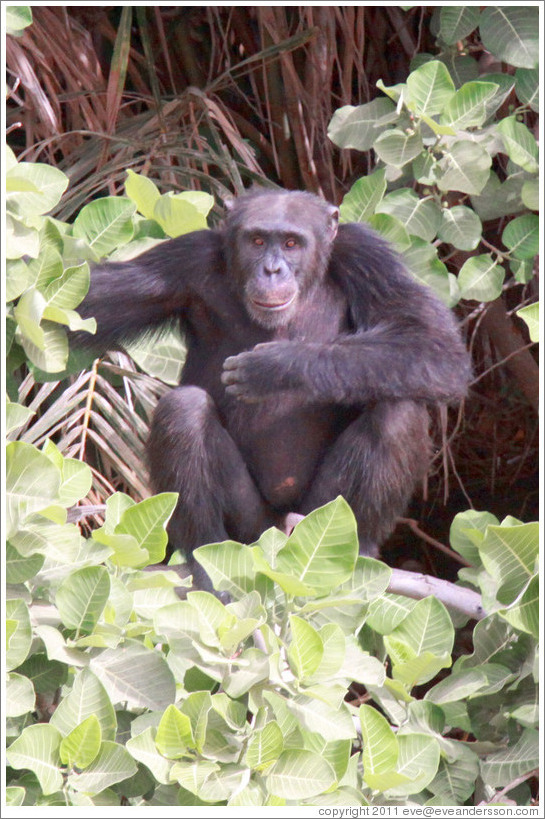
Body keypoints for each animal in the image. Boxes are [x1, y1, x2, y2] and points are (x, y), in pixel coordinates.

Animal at [75, 187, 468, 588]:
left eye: (292, 243)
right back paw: (207, 555)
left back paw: (363, 550)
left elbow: (433, 344)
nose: (272, 269)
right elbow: (87, 304)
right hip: (250, 528)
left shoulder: (369, 255)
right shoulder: (179, 261)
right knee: (183, 410)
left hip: (322, 513)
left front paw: (276, 367)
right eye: (258, 241)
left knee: (396, 411)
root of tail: (278, 531)